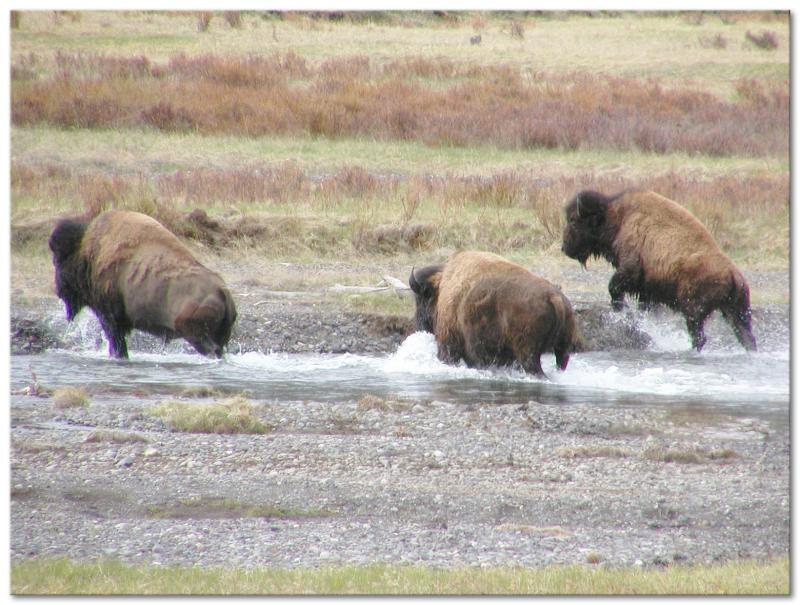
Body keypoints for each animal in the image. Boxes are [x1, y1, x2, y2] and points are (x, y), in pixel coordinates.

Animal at [48, 209, 238, 356]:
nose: (58, 290)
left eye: (58, 260)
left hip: (194, 332)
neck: (87, 253)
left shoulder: (110, 319)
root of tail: (222, 292)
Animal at [410, 248, 580, 376]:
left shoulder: (449, 343)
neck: (442, 287)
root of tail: (555, 297)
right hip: (562, 349)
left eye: (421, 299)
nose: (419, 324)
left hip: (528, 353)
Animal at [564, 188, 756, 350]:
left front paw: (621, 312)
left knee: (699, 337)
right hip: (736, 312)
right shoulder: (648, 292)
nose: (564, 248)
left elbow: (614, 288)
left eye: (573, 220)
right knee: (746, 337)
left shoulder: (630, 269)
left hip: (694, 312)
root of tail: (733, 273)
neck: (620, 216)